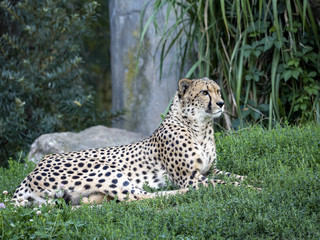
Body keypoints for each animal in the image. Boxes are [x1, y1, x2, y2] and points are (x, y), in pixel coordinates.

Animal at [11, 77, 252, 206]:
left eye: (218, 91)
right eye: (204, 92)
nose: (221, 103)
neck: (200, 128)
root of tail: (35, 167)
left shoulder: (209, 170)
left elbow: (234, 176)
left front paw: (255, 180)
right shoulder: (189, 177)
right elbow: (227, 184)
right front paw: (251, 189)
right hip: (105, 170)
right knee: (138, 196)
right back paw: (187, 194)